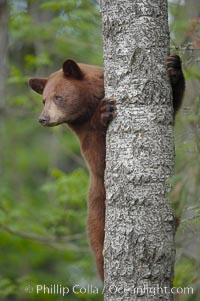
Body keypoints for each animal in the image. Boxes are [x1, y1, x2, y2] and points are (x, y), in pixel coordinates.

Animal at [28, 54, 184, 282]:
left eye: (57, 97)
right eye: (44, 100)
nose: (43, 118)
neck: (88, 106)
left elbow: (173, 105)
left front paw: (173, 66)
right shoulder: (83, 132)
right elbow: (98, 158)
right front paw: (105, 111)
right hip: (97, 213)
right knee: (99, 252)